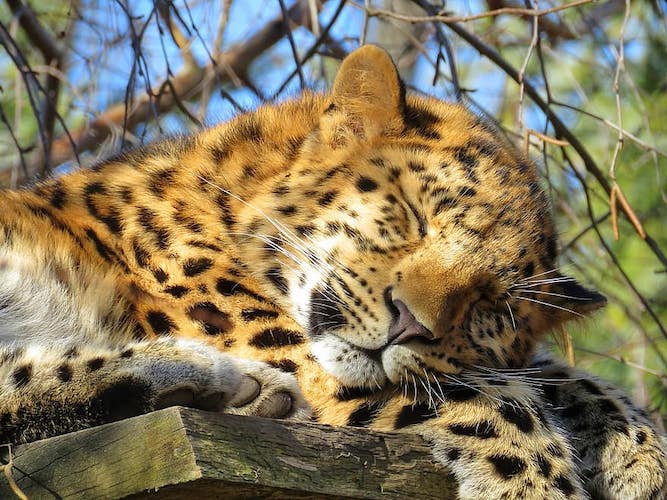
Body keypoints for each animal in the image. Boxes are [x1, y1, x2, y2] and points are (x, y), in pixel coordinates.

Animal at [0, 45, 664, 498]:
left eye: (491, 306)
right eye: (414, 216)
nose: (409, 324)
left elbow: (549, 376)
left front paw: (644, 458)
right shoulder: (291, 350)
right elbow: (499, 399)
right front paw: (537, 485)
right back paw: (210, 375)